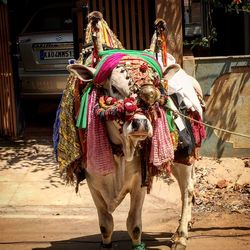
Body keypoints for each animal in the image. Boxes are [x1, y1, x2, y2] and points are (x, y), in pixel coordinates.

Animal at [53, 11, 206, 250]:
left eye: (155, 88)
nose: (141, 124)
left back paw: (181, 235)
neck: (120, 152)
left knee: (187, 189)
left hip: (185, 156)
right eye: (114, 88)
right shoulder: (93, 183)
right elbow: (106, 225)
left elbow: (133, 225)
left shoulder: (139, 182)